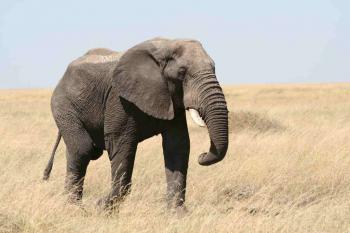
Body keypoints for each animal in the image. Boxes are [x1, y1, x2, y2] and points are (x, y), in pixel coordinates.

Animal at [43, 38, 230, 209]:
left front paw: (177, 214)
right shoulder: (119, 98)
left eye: (214, 68)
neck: (165, 46)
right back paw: (74, 207)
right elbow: (121, 144)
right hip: (63, 105)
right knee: (82, 148)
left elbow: (177, 145)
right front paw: (102, 207)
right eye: (182, 72)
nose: (202, 155)